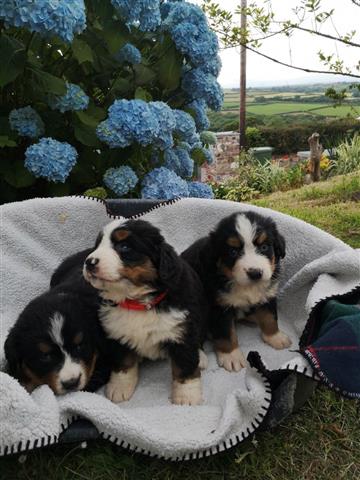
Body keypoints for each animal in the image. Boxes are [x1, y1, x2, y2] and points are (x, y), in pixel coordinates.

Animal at [81, 220, 205, 404]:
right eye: (96, 246)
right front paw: (119, 387)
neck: (137, 301)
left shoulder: (182, 331)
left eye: (124, 246)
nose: (89, 262)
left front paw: (186, 396)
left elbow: (185, 365)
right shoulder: (116, 333)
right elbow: (123, 363)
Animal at [181, 212, 292, 374]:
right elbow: (226, 333)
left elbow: (270, 318)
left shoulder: (268, 295)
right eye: (233, 252)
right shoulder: (219, 306)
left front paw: (275, 337)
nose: (255, 273)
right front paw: (231, 356)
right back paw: (200, 357)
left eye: (264, 247)